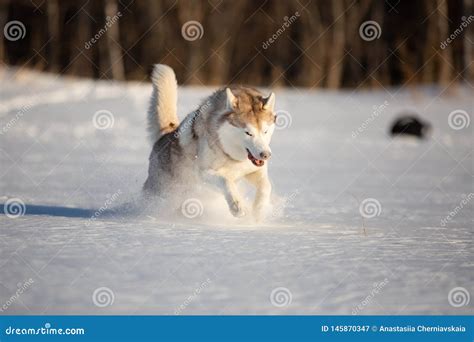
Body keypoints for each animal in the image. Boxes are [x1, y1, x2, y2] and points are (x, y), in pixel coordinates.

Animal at [143, 65, 276, 220]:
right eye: (248, 132)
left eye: (265, 131)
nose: (265, 155)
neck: (229, 154)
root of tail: (166, 134)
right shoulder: (205, 173)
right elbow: (226, 181)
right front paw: (237, 206)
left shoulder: (254, 171)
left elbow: (266, 186)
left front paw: (259, 211)